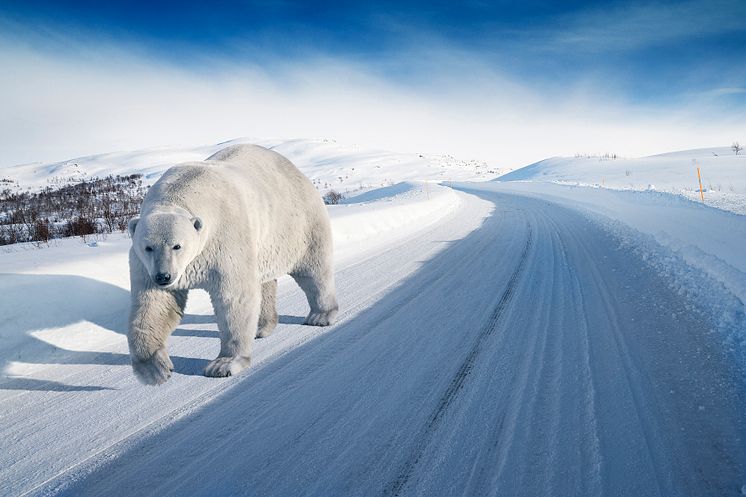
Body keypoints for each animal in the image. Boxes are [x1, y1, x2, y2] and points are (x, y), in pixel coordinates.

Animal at [128, 143, 338, 384]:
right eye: (148, 247)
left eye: (177, 246)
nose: (163, 277)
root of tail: (296, 170)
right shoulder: (145, 265)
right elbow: (154, 303)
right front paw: (154, 369)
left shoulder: (225, 240)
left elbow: (234, 297)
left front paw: (224, 364)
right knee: (263, 281)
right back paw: (262, 327)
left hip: (298, 224)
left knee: (314, 269)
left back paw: (321, 316)